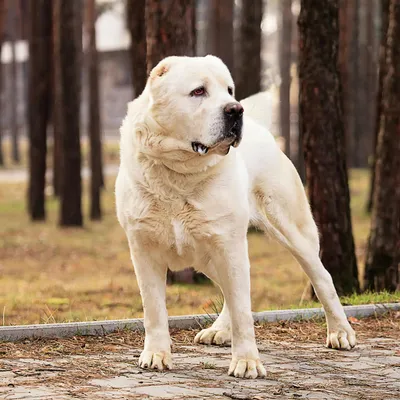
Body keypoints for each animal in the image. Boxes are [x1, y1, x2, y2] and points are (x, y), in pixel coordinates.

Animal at [115, 55, 356, 378]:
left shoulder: (229, 245)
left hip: (290, 231)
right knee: (229, 291)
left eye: (229, 90)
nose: (235, 108)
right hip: (208, 254)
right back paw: (218, 330)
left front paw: (247, 362)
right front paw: (156, 354)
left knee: (322, 278)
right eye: (198, 91)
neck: (180, 174)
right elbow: (153, 309)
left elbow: (243, 310)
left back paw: (341, 332)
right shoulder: (144, 249)